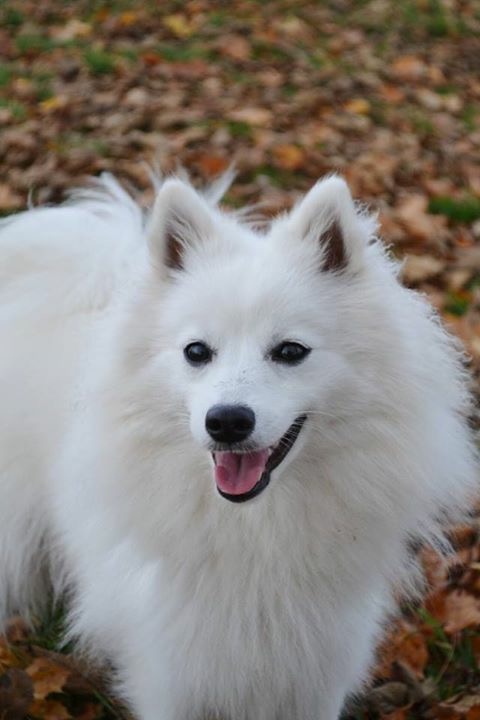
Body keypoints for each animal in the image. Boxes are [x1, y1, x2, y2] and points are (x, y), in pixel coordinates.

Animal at [0, 176, 476, 720]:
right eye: (196, 352)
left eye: (290, 351)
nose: (226, 421)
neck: (256, 530)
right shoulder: (170, 677)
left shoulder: (316, 671)